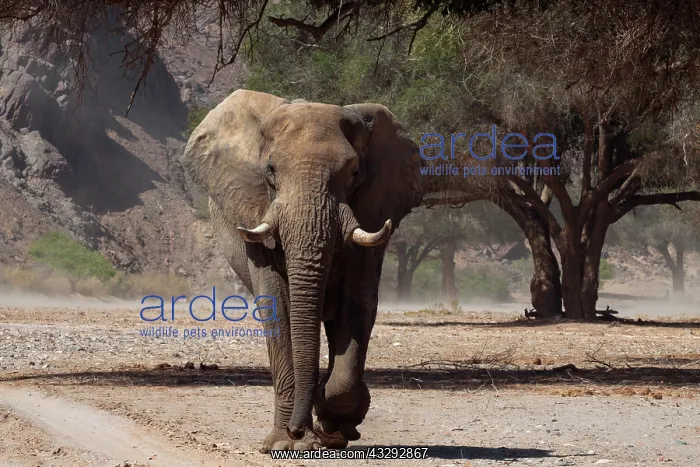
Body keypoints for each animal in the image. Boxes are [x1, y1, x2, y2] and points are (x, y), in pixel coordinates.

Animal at [181, 89, 448, 452]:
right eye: (270, 170)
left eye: (354, 174)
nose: (296, 431)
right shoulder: (255, 211)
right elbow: (278, 307)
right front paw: (286, 445)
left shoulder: (371, 211)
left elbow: (358, 304)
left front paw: (331, 426)